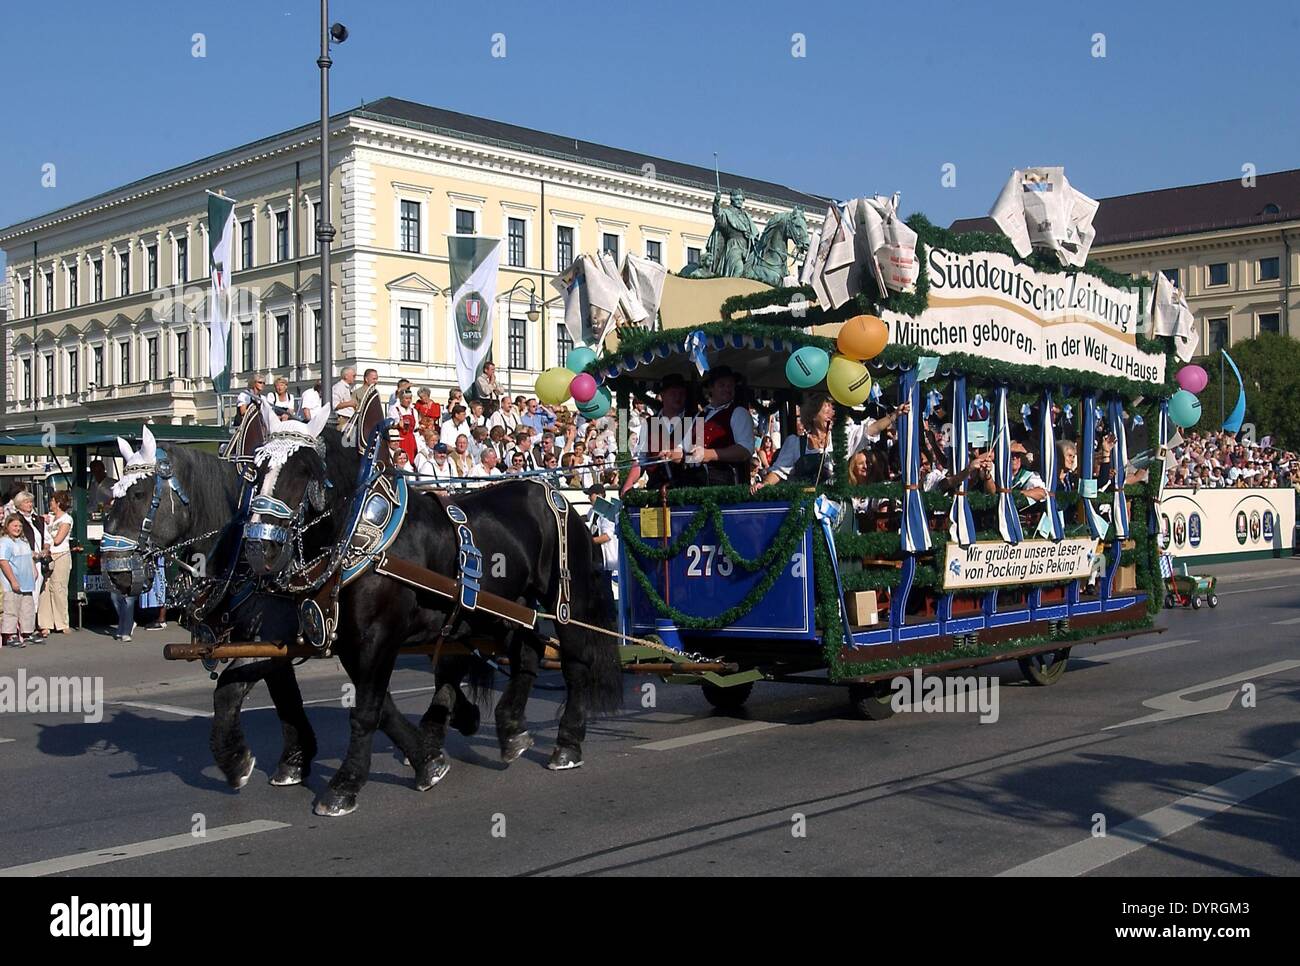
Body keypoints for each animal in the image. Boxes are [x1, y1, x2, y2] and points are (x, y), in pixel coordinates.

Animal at [249, 429, 629, 816]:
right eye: (255, 471)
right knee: (530, 651)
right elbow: (384, 707)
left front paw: (345, 785)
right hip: (507, 608)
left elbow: (367, 711)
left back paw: (567, 744)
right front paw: (427, 761)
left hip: (566, 599)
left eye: (303, 471)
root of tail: (555, 495)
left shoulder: (379, 637)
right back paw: (510, 728)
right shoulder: (352, 643)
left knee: (575, 664)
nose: (258, 547)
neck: (362, 538)